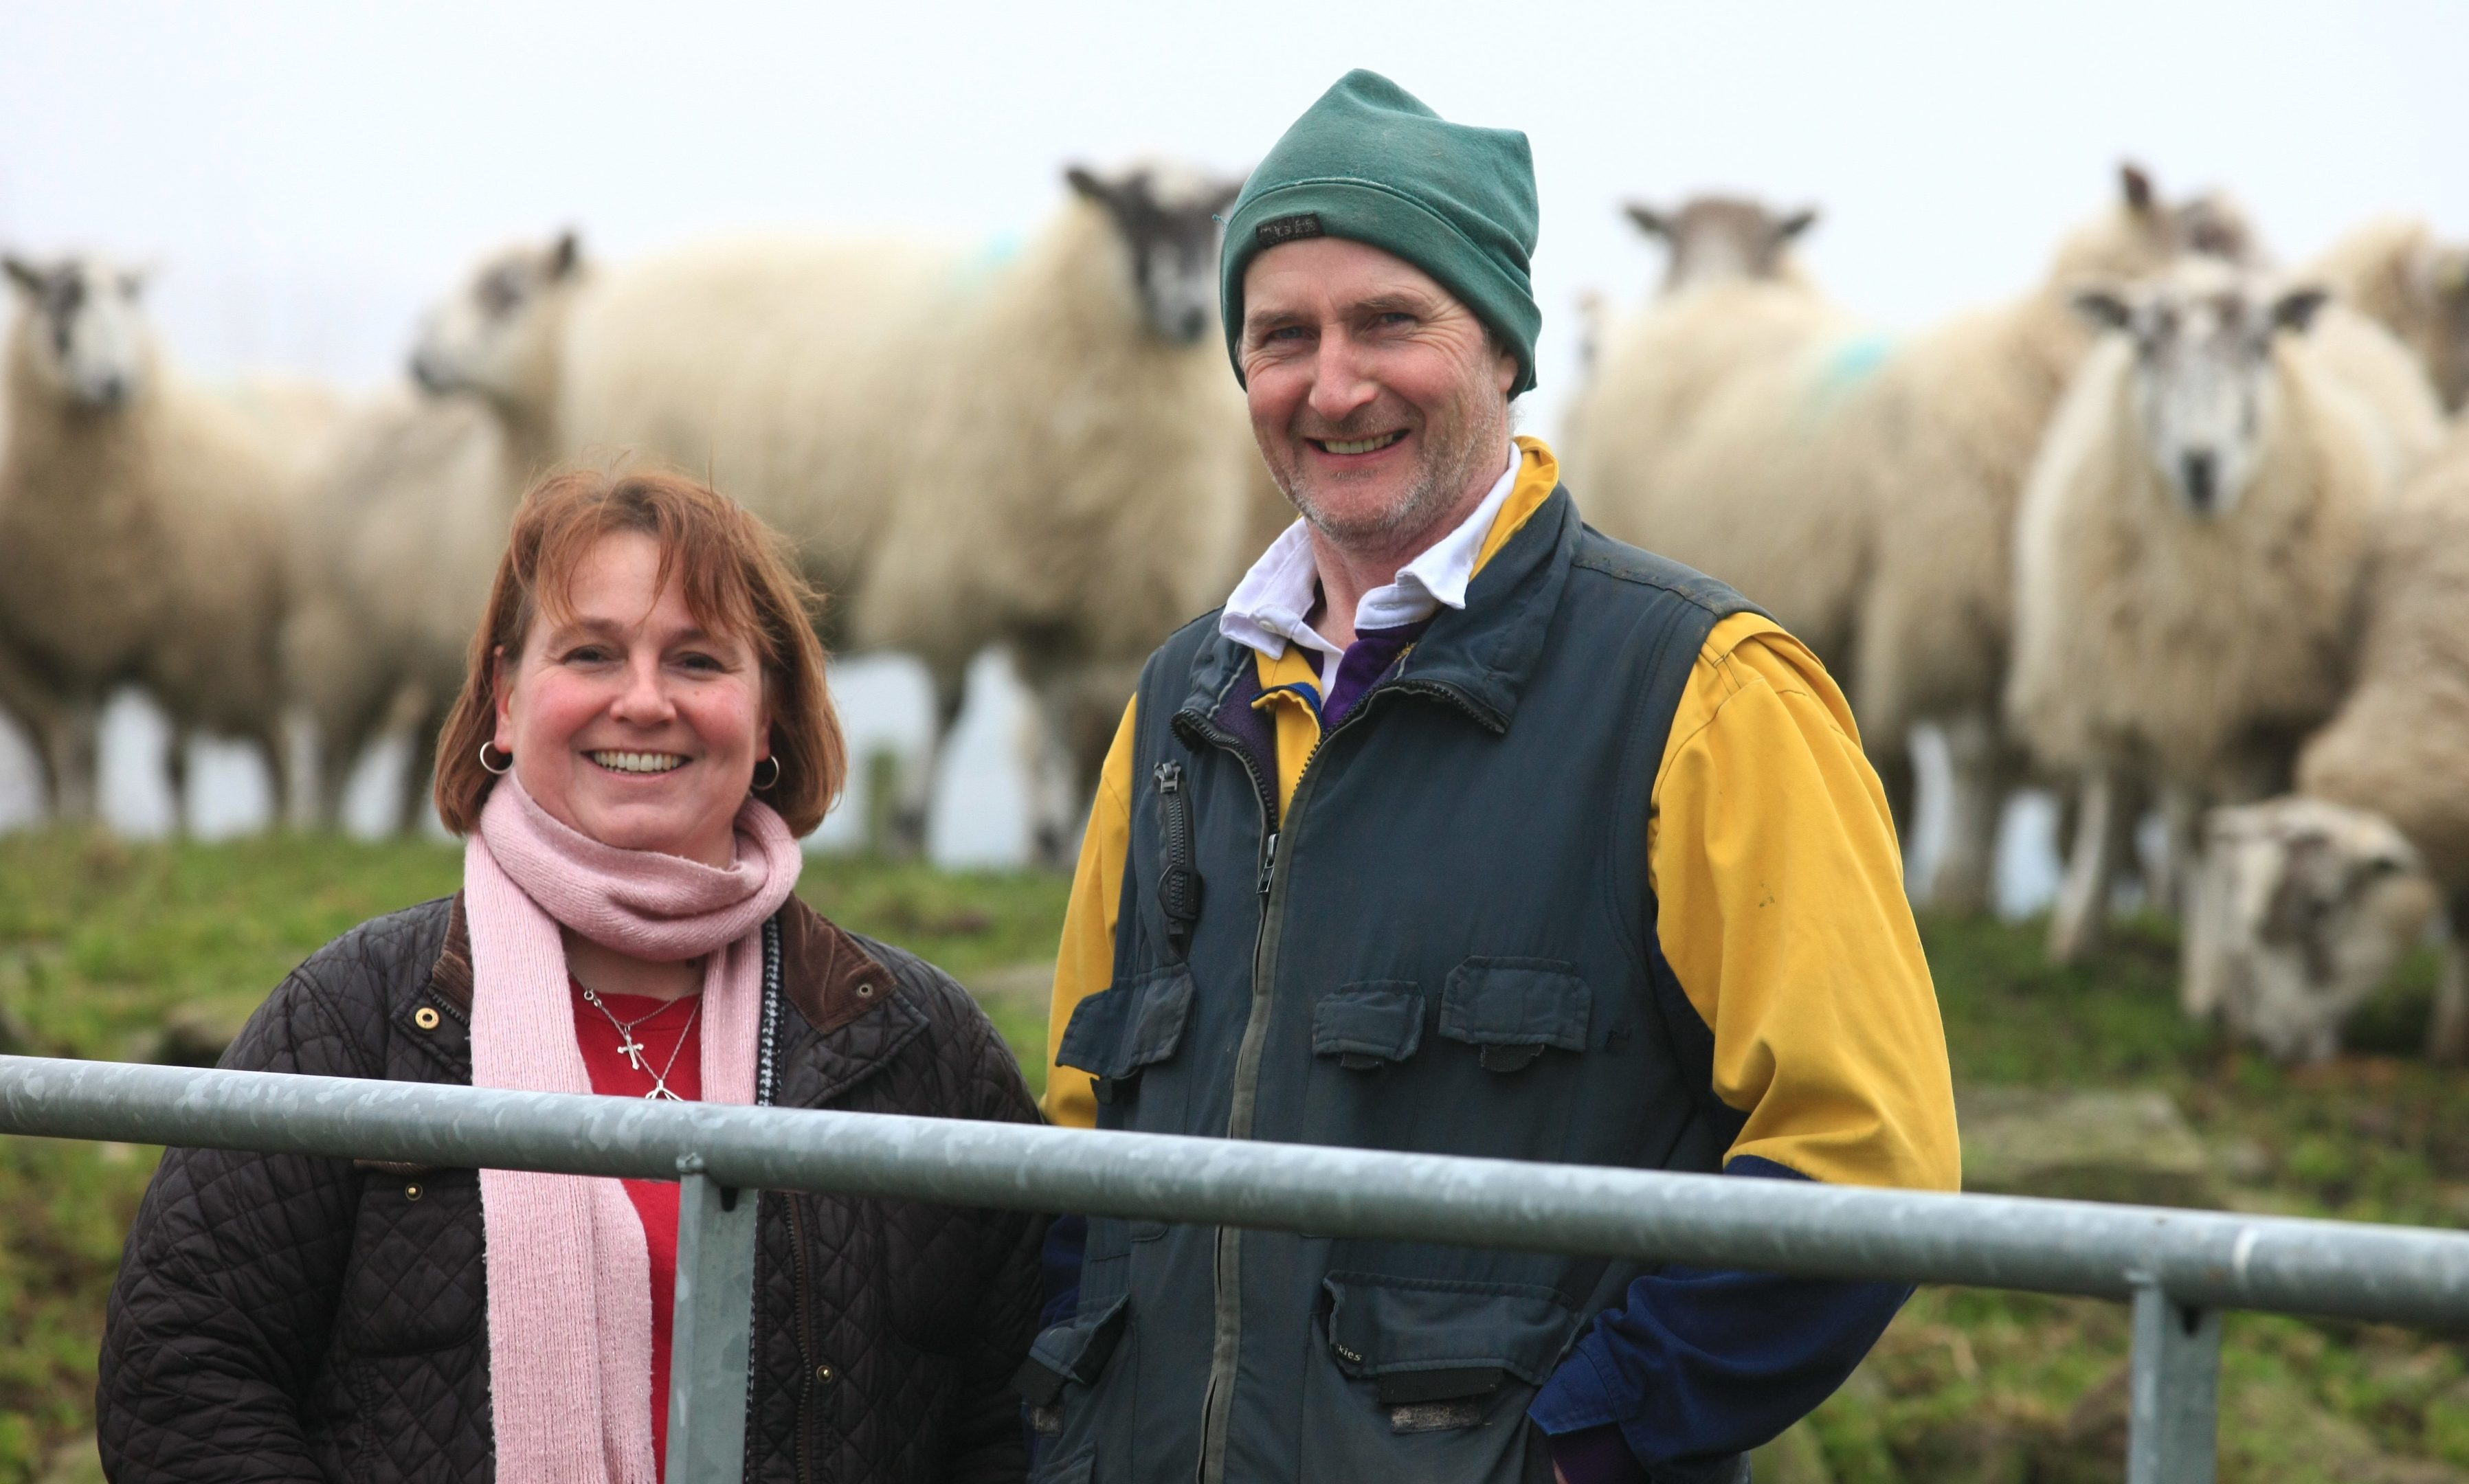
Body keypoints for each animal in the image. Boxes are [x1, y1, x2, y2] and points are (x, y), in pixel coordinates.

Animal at [0, 253, 348, 820]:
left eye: (129, 303)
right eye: (59, 303)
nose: (115, 383)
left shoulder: (184, 641)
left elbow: (174, 763)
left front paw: (177, 829)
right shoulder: (69, 644)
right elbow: (81, 748)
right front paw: (80, 824)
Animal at [290, 237, 588, 829]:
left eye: (510, 294)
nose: (420, 358)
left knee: (406, 770)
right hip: (343, 637)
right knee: (336, 755)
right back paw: (326, 831)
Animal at [2014, 258, 2439, 963]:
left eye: (2262, 343)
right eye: (2143, 343)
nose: (2200, 463)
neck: (2199, 566)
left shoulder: (2254, 711)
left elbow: (2226, 824)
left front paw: (2217, 962)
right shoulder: (2140, 681)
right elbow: (2149, 807)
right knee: (2127, 792)